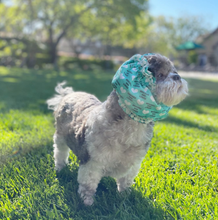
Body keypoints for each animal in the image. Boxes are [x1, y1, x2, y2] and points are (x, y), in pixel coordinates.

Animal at [46, 53, 188, 206]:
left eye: (174, 71)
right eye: (161, 75)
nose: (177, 76)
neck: (130, 127)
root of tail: (69, 94)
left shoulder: (133, 164)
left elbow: (125, 182)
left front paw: (125, 196)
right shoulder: (92, 163)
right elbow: (88, 184)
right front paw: (87, 201)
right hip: (60, 138)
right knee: (60, 153)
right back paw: (60, 168)